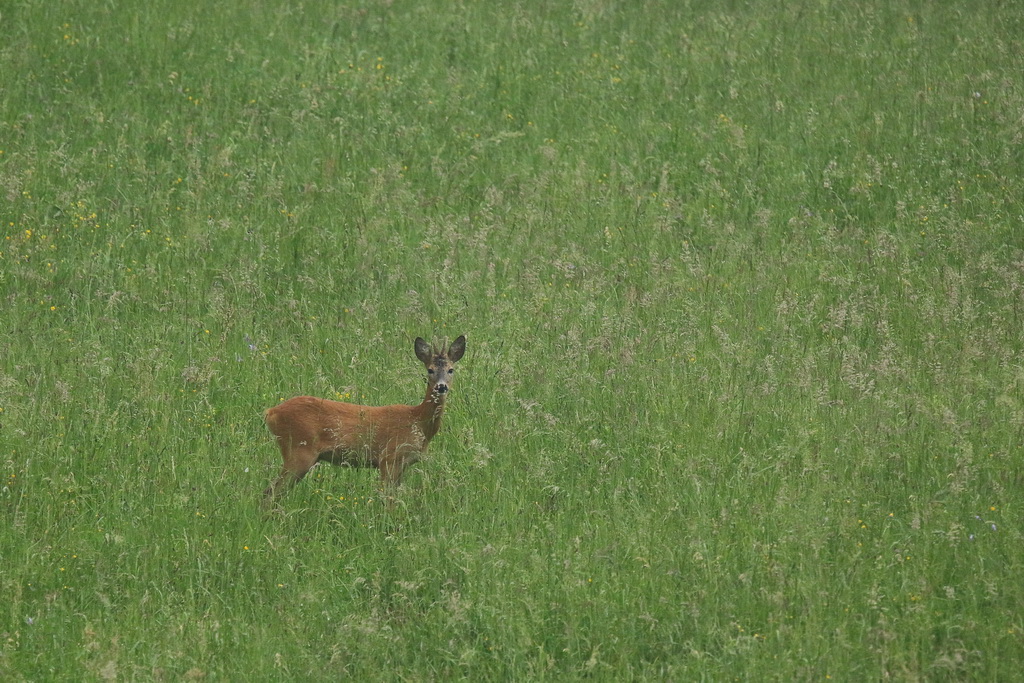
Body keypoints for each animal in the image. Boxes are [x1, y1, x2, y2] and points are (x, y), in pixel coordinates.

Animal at [266, 333, 468, 505]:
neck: (418, 420)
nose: (441, 387)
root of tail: (270, 412)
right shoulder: (389, 458)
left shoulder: (402, 464)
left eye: (451, 370)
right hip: (298, 450)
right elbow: (388, 501)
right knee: (271, 492)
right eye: (430, 370)